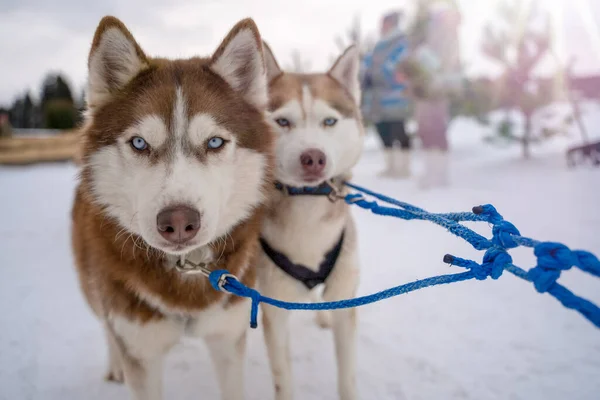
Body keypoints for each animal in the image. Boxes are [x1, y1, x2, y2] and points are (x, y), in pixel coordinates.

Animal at [71, 15, 274, 400]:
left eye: (214, 142)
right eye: (139, 143)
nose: (179, 222)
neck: (185, 274)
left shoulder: (228, 336)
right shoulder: (140, 349)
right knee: (105, 324)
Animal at [256, 43, 364, 400]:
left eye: (329, 121)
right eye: (282, 121)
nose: (314, 157)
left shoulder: (346, 299)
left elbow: (347, 377)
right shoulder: (273, 309)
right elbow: (283, 377)